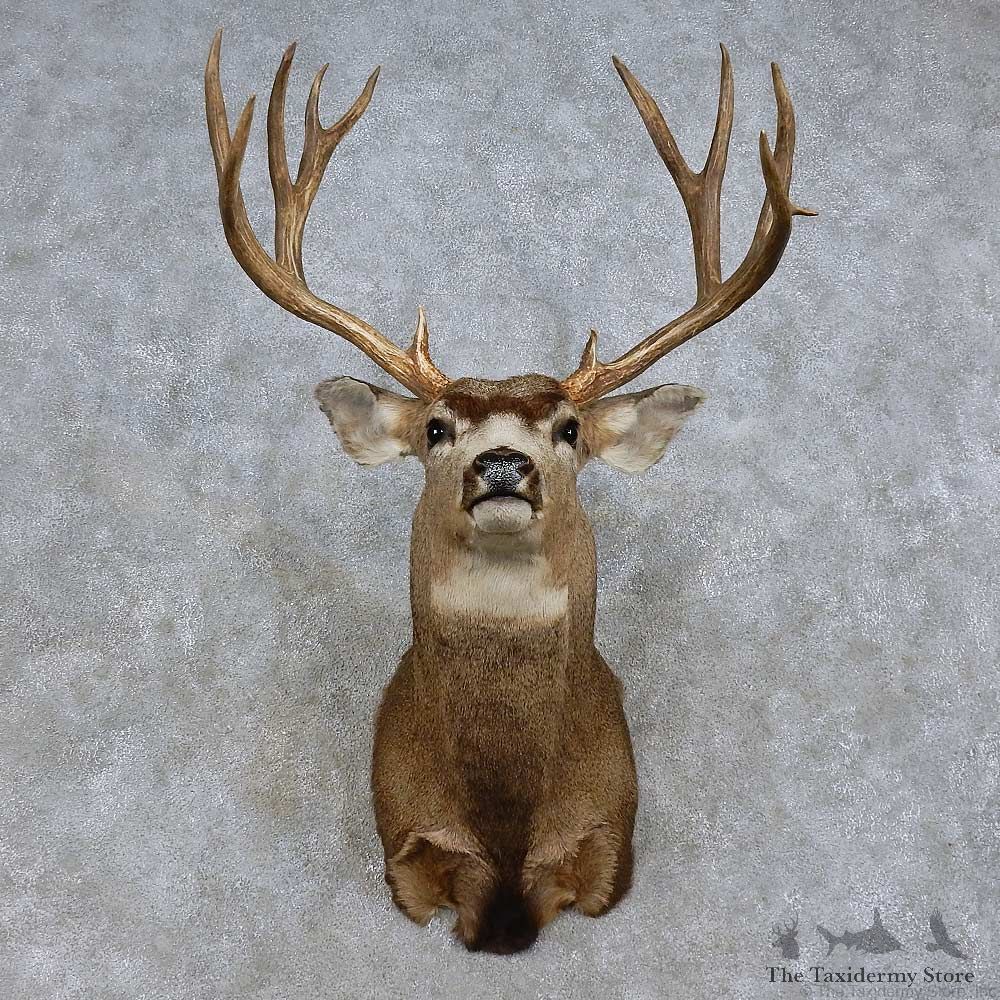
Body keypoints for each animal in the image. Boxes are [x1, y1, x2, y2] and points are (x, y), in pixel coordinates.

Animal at [204, 30, 813, 954]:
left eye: (568, 429)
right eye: (434, 429)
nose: (499, 465)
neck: (507, 815)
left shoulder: (607, 839)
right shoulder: (409, 844)